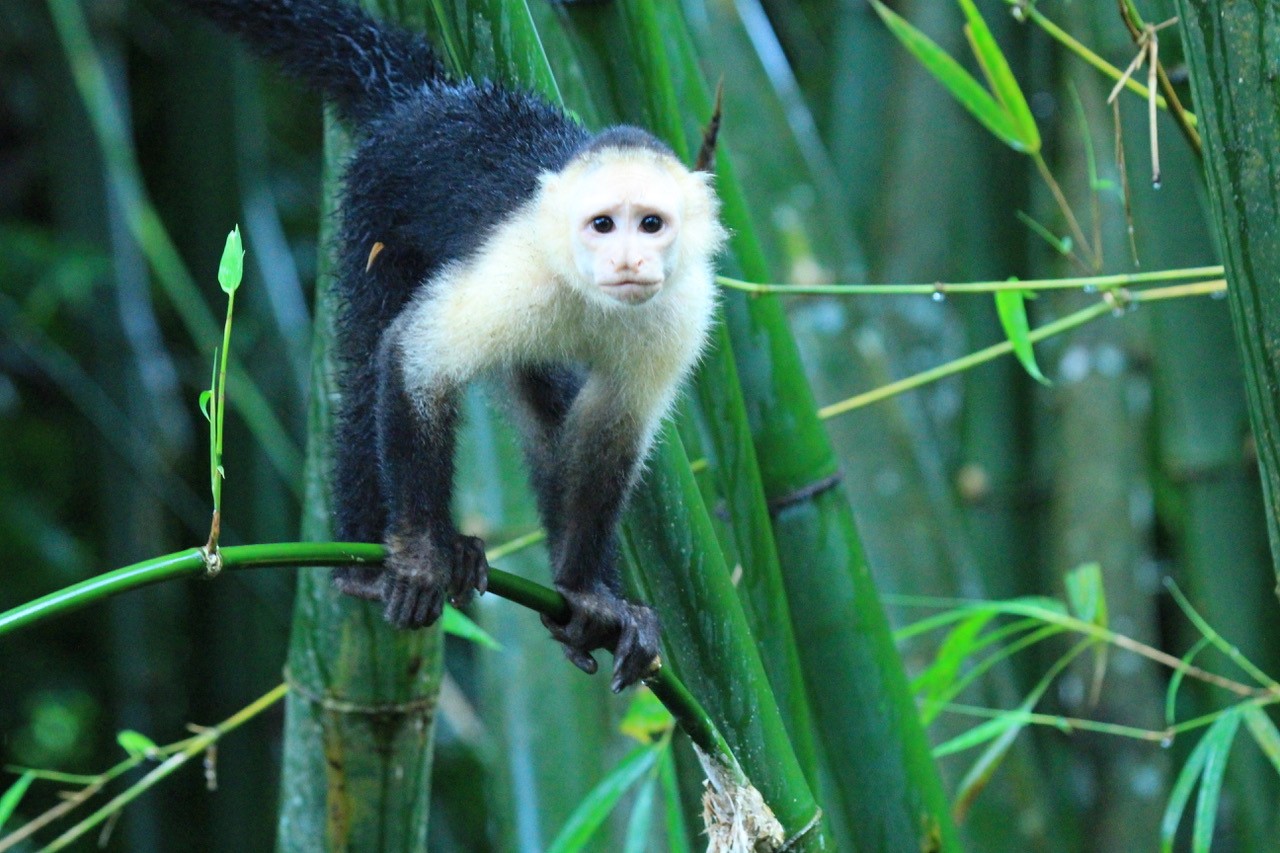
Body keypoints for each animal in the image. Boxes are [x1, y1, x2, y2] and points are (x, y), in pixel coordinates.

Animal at [181, 0, 727, 691]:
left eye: (651, 224)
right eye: (603, 225)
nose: (627, 260)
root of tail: (433, 98)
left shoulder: (683, 311)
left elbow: (610, 430)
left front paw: (588, 593)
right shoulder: (518, 272)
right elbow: (415, 359)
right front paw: (420, 553)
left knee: (546, 398)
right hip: (378, 196)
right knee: (370, 360)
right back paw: (367, 567)